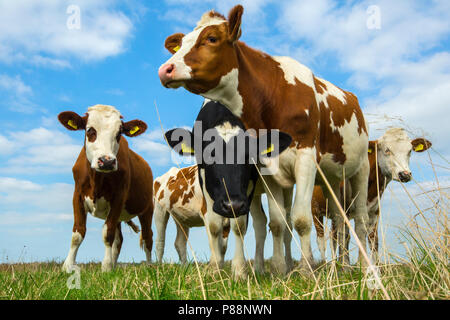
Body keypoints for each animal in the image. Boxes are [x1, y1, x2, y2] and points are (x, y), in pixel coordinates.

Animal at [59, 105, 154, 272]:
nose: (107, 161)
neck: (97, 179)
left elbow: (107, 233)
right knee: (119, 240)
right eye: (90, 130)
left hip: (147, 209)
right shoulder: (77, 196)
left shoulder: (118, 198)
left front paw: (107, 267)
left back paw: (149, 266)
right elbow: (78, 233)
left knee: (147, 237)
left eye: (119, 133)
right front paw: (68, 266)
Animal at [160, 5, 370, 270]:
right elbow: (277, 222)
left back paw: (362, 267)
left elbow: (300, 220)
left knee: (360, 218)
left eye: (211, 38)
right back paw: (338, 266)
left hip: (361, 168)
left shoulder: (305, 158)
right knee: (337, 219)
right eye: (182, 43)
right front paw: (279, 268)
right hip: (331, 178)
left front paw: (306, 269)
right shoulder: (267, 167)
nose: (165, 69)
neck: (273, 96)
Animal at [310, 127, 432, 262]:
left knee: (333, 238)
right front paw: (346, 265)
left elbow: (373, 240)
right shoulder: (344, 210)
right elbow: (345, 238)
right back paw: (325, 263)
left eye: (409, 150)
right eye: (387, 150)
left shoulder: (374, 212)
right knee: (321, 240)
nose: (404, 174)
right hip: (315, 210)